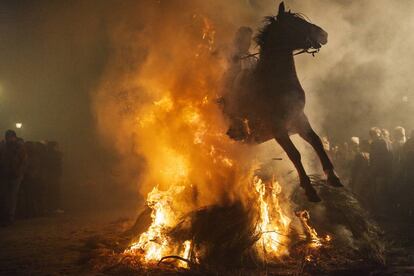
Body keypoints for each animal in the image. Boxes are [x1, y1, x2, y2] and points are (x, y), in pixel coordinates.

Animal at [225, 2, 342, 203]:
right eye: (295, 24)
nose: (324, 34)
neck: (273, 82)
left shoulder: (299, 119)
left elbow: (317, 141)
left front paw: (332, 176)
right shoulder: (277, 128)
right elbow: (295, 154)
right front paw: (309, 189)